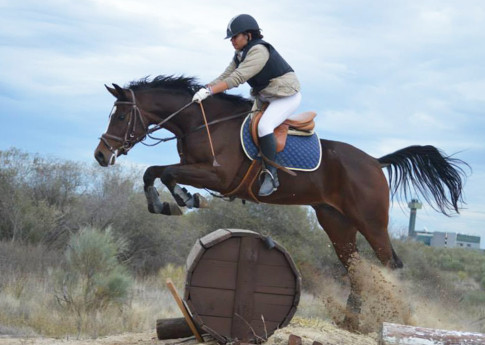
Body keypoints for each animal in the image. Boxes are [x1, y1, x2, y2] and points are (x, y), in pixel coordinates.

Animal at [93, 74, 466, 328]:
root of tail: (375, 161)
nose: (100, 155)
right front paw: (175, 201)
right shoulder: (198, 170)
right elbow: (157, 173)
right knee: (356, 269)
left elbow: (161, 171)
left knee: (390, 265)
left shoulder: (217, 175)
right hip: (336, 223)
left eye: (121, 117)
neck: (202, 123)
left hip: (370, 222)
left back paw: (392, 318)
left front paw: (178, 200)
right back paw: (351, 322)